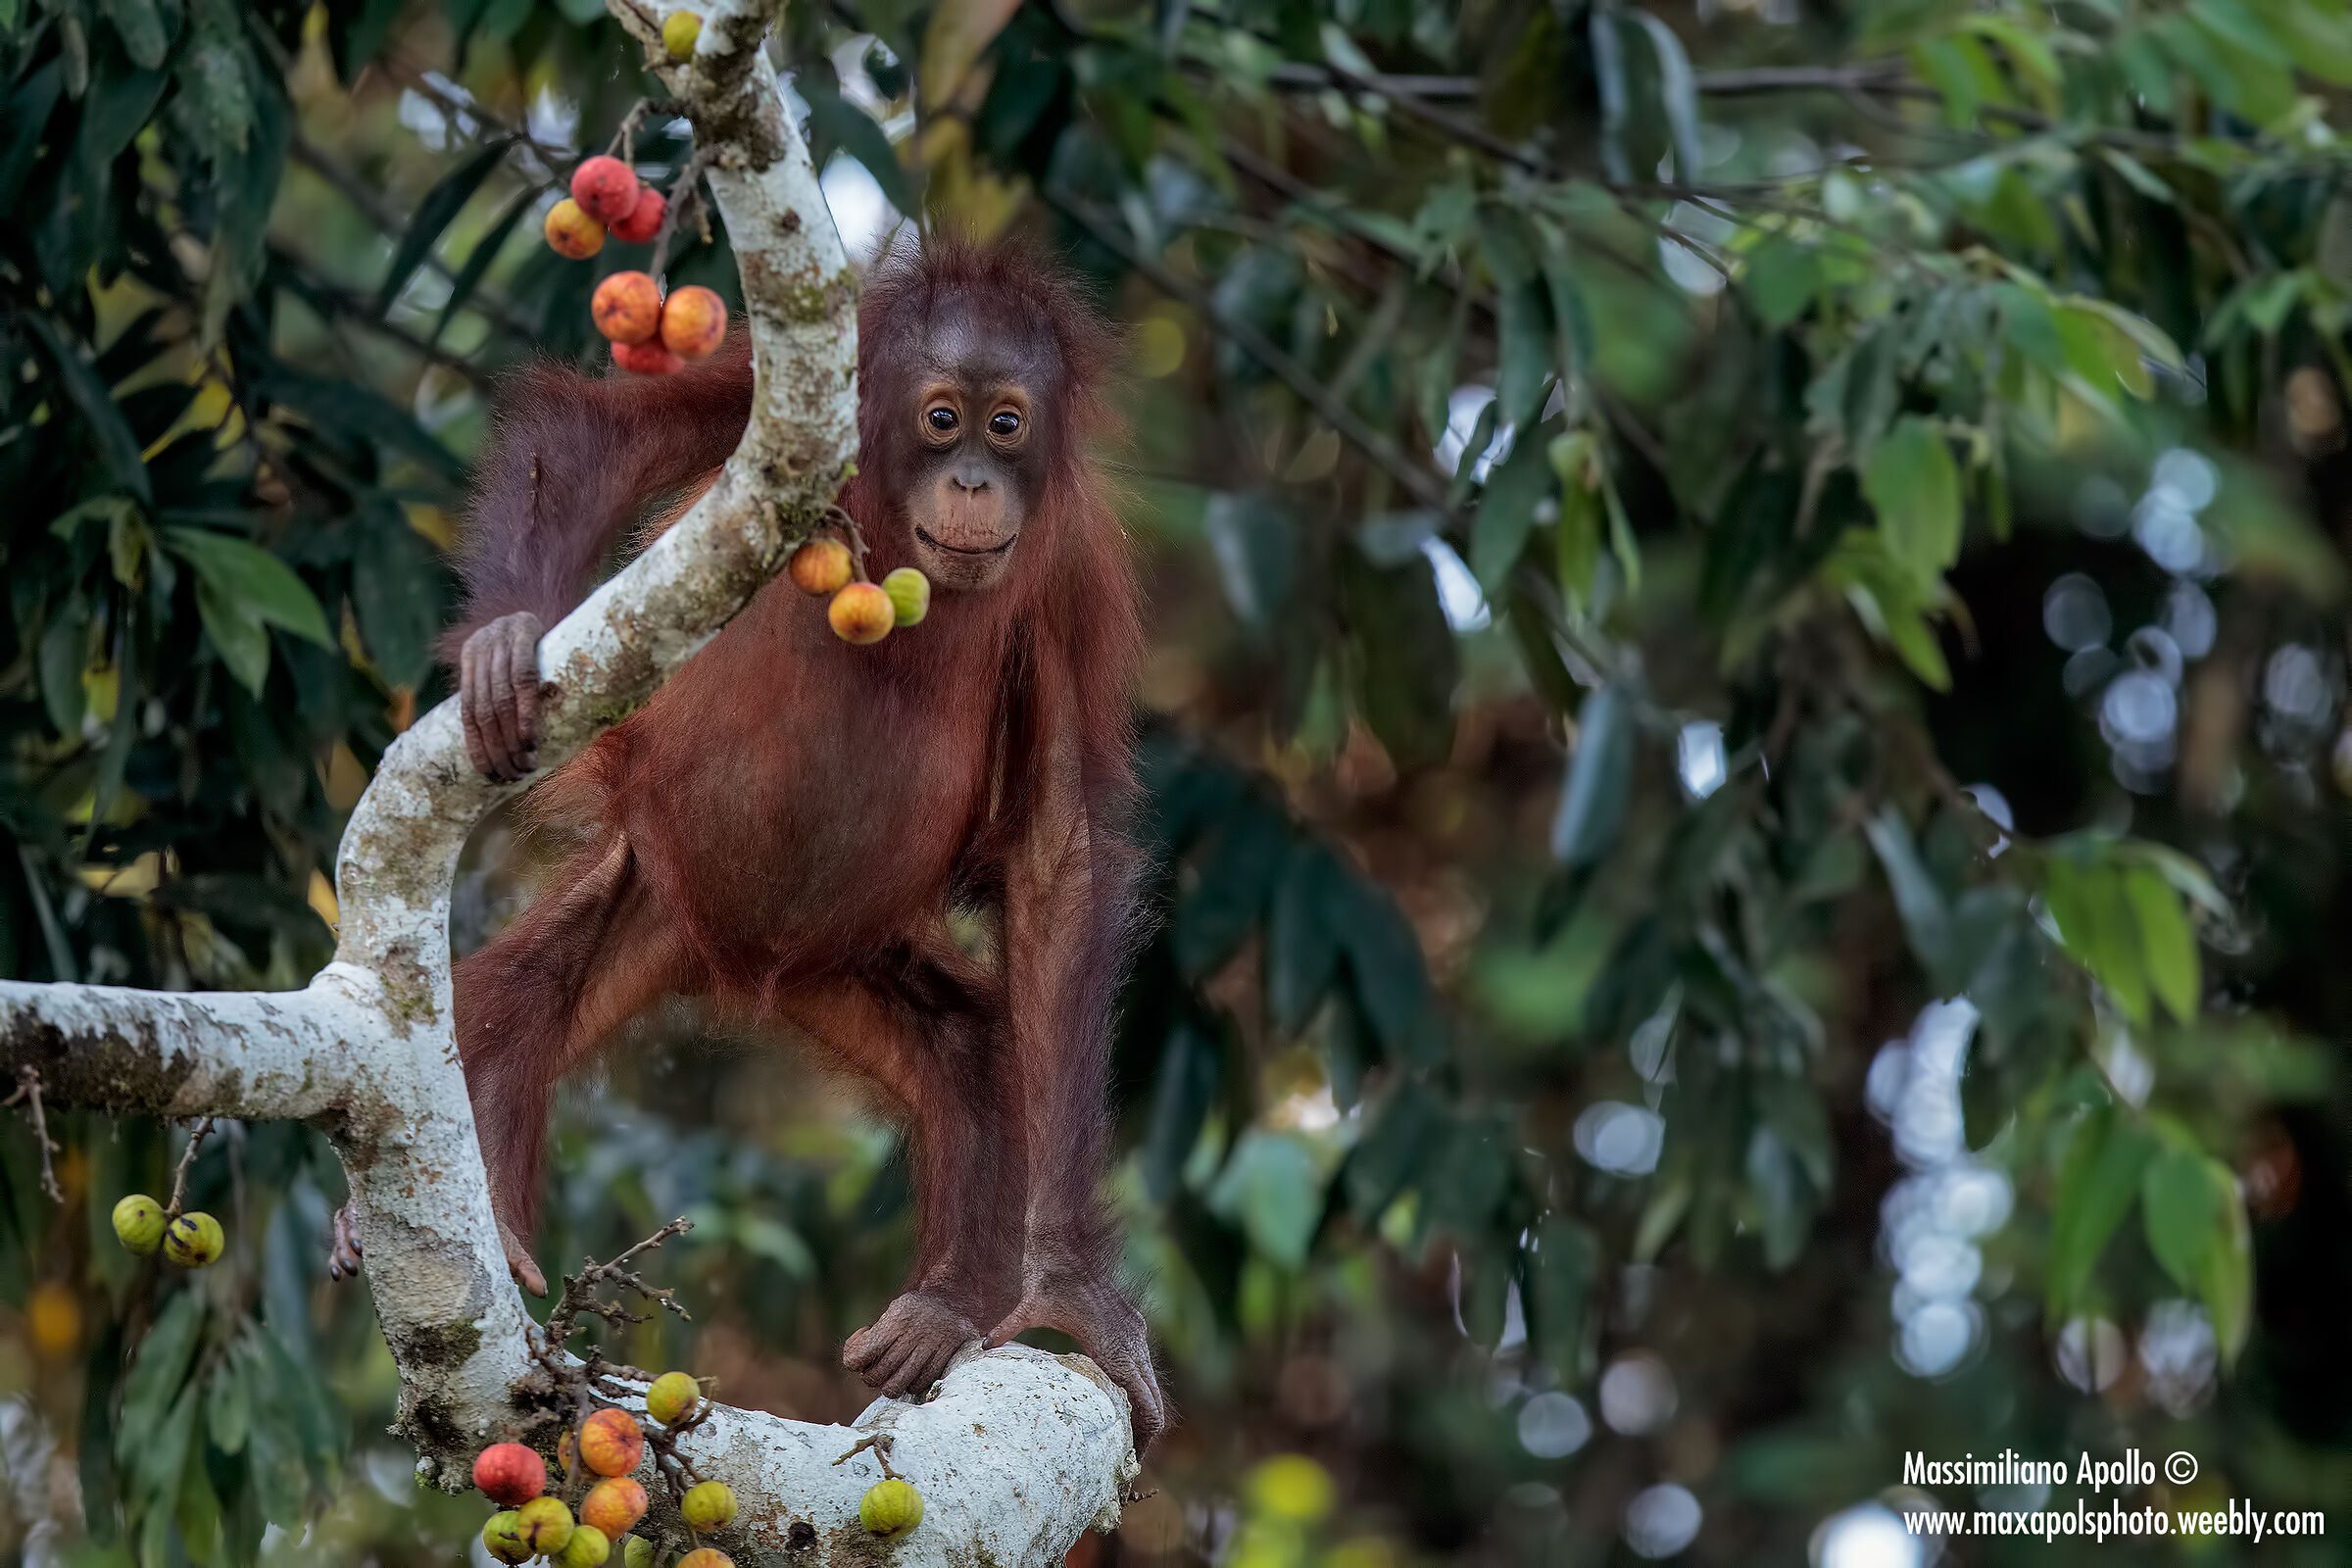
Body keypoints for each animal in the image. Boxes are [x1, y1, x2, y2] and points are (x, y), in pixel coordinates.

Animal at [333, 239, 1164, 1448]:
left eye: (1008, 425)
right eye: (943, 418)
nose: (974, 481)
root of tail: (739, 966)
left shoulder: (1075, 572)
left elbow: (1061, 850)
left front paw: (1069, 1293)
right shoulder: (787, 409)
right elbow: (603, 432)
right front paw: (506, 636)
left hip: (852, 954)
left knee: (973, 1047)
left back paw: (938, 1312)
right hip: (649, 881)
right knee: (510, 1004)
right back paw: (469, 1220)